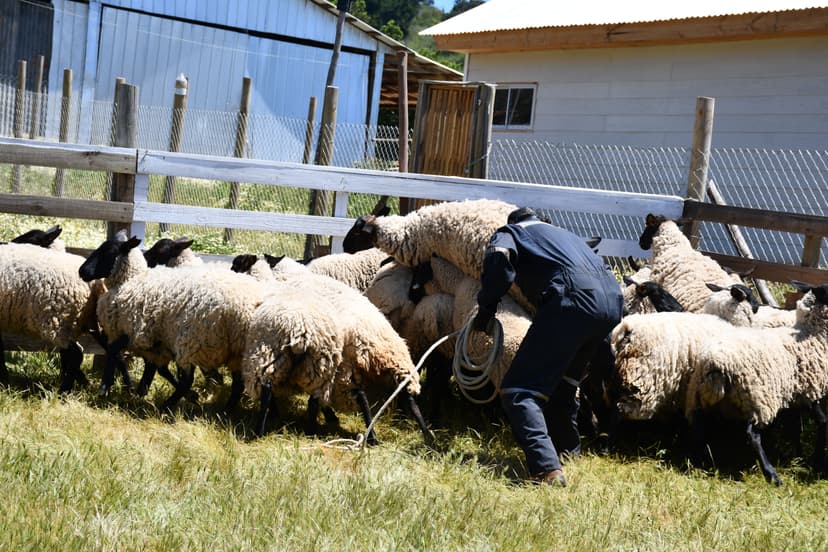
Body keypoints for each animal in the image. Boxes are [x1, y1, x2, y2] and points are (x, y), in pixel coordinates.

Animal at [230, 256, 430, 444]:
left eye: (236, 265)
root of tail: (371, 341)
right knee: (406, 395)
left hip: (336, 364)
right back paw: (423, 434)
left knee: (350, 394)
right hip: (396, 361)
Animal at [684, 282, 828, 486]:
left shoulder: (795, 393)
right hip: (758, 399)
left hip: (699, 397)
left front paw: (800, 454)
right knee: (752, 435)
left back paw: (699, 461)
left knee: (698, 424)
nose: (760, 306)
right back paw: (771, 474)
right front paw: (817, 459)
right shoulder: (809, 389)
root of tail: (714, 364)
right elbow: (822, 421)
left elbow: (796, 428)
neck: (812, 333)